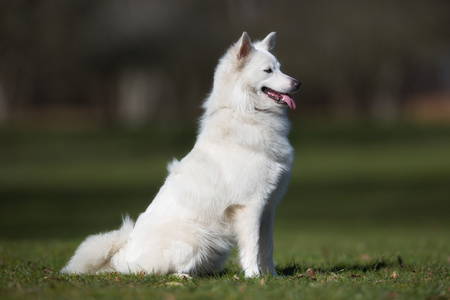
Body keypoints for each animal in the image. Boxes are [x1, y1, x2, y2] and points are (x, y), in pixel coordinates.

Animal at [59, 31, 298, 278]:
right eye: (268, 70)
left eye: (280, 68)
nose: (297, 84)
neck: (246, 113)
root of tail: (121, 256)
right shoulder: (250, 207)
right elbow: (252, 246)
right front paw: (253, 276)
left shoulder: (267, 209)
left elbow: (267, 248)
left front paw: (272, 277)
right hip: (195, 237)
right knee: (156, 271)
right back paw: (182, 277)